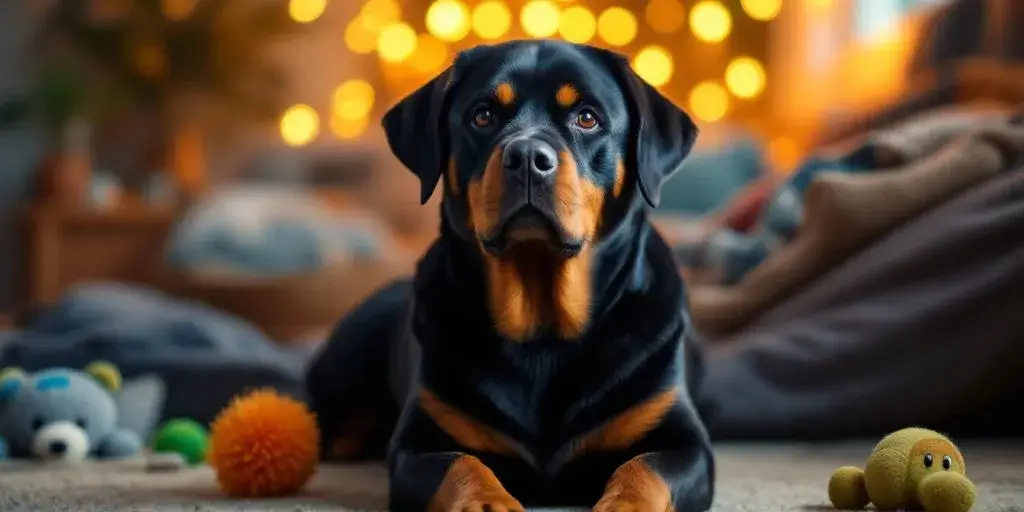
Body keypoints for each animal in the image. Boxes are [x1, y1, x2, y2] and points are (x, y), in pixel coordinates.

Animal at [305, 39, 712, 512]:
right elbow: (461, 464)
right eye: (482, 115)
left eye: (587, 117)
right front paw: (487, 501)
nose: (528, 157)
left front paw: (624, 505)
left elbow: (644, 470)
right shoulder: (418, 443)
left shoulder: (683, 441)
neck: (541, 327)